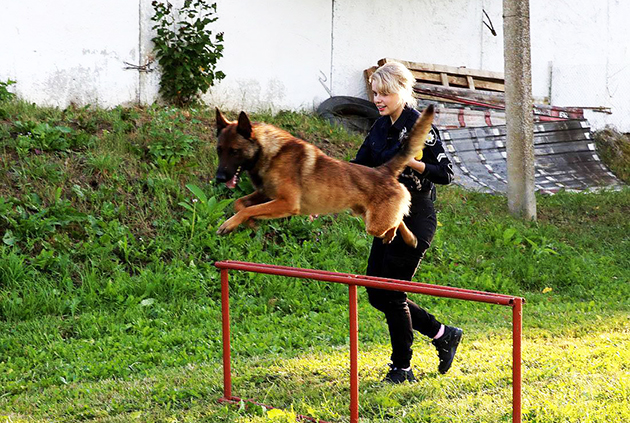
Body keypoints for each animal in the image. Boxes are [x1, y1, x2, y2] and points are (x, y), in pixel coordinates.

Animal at [215, 104, 436, 247]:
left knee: (395, 221)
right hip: (366, 216)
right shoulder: (265, 195)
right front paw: (249, 223)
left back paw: (400, 236)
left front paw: (229, 224)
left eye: (234, 151)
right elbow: (240, 205)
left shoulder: (286, 203)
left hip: (374, 225)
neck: (269, 152)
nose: (218, 178)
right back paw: (408, 238)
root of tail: (383, 170)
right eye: (219, 150)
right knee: (399, 218)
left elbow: (246, 209)